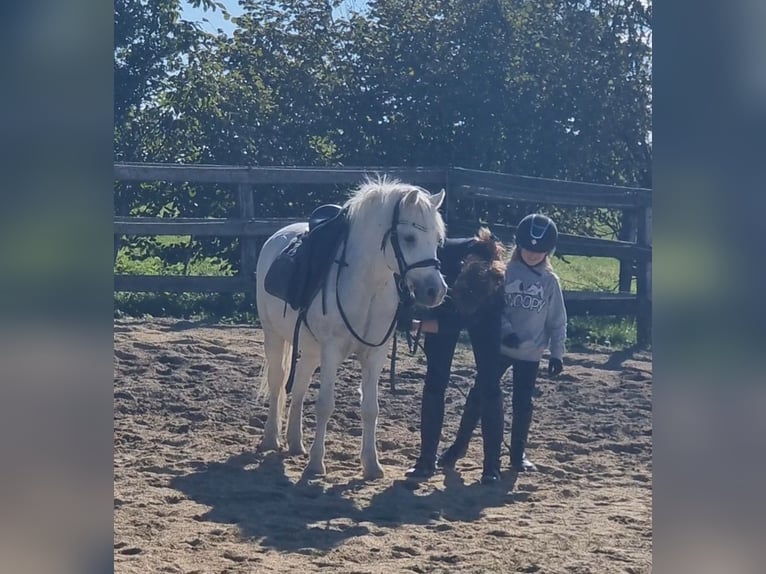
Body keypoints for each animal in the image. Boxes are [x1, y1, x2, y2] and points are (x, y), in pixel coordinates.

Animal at [255, 177, 448, 479]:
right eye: (409, 238)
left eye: (438, 240)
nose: (435, 291)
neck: (366, 285)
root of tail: (278, 236)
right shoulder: (331, 351)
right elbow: (325, 405)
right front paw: (316, 464)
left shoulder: (375, 355)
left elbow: (370, 409)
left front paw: (372, 465)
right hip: (273, 336)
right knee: (278, 383)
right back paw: (271, 438)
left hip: (310, 349)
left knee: (299, 387)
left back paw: (295, 442)